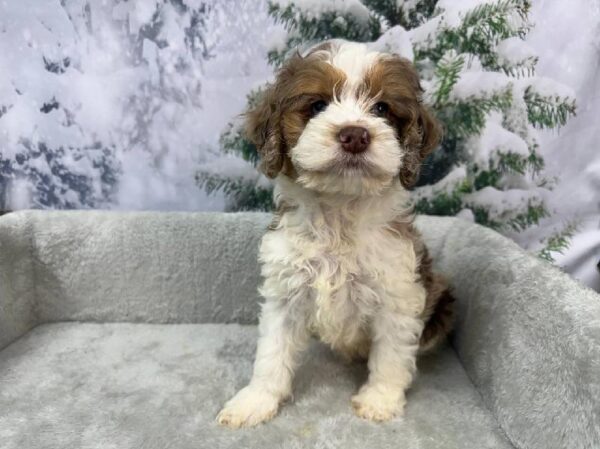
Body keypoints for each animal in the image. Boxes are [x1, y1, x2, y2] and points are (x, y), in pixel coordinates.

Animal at [218, 39, 452, 428]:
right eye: (317, 105)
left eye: (382, 108)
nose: (355, 134)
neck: (340, 211)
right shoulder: (286, 290)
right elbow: (272, 351)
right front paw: (255, 400)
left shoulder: (397, 292)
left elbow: (391, 354)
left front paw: (379, 400)